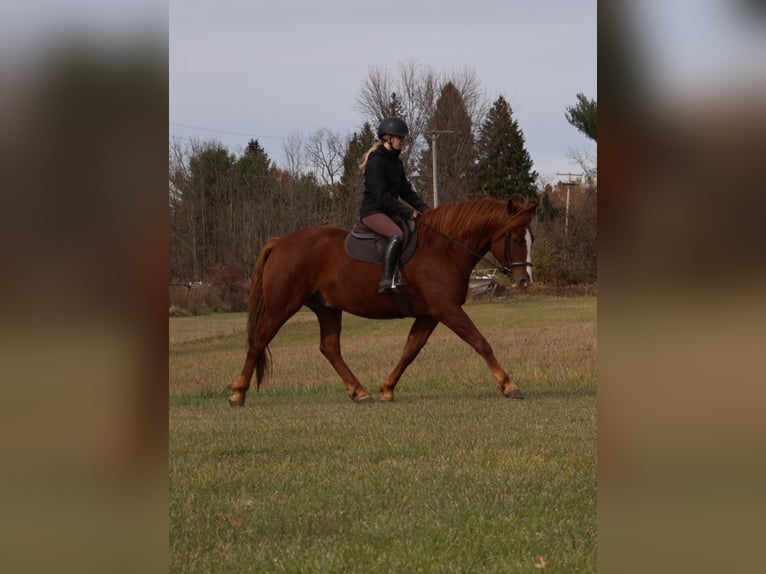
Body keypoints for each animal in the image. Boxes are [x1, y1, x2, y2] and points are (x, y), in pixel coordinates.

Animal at [229, 198, 536, 406]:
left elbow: (410, 350)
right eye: (516, 238)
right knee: (258, 341)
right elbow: (480, 342)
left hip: (327, 309)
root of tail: (281, 242)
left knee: (330, 348)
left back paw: (359, 392)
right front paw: (509, 385)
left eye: (530, 237)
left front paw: (387, 388)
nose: (524, 280)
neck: (443, 249)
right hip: (282, 306)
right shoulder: (447, 310)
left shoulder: (430, 314)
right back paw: (238, 393)